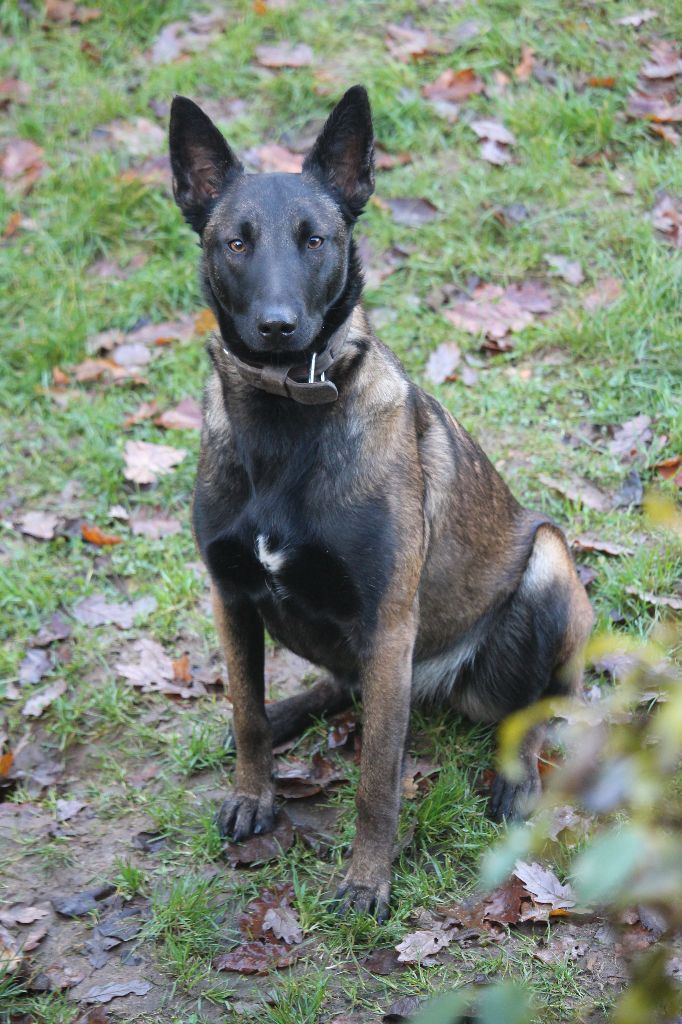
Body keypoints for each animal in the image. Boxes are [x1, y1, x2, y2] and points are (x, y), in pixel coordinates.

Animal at [166, 86, 593, 921]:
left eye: (316, 239)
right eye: (235, 243)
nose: (277, 326)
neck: (284, 420)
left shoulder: (389, 623)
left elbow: (375, 784)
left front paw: (368, 879)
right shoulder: (231, 596)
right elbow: (243, 712)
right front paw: (256, 790)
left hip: (550, 564)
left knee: (528, 711)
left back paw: (516, 781)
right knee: (332, 687)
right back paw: (292, 710)